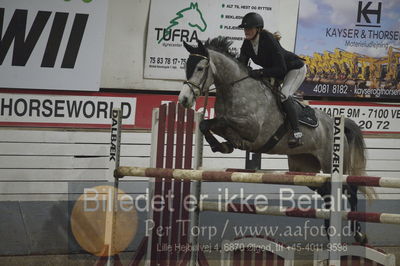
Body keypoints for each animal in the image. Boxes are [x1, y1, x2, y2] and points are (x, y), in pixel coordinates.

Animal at [180, 37, 376, 243]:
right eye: (187, 67)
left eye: (200, 68)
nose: (183, 100)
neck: (235, 89)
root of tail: (337, 125)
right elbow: (206, 124)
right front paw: (222, 146)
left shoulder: (252, 129)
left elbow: (225, 122)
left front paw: (231, 143)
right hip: (303, 168)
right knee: (328, 192)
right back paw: (330, 230)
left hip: (333, 164)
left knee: (350, 190)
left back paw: (358, 234)